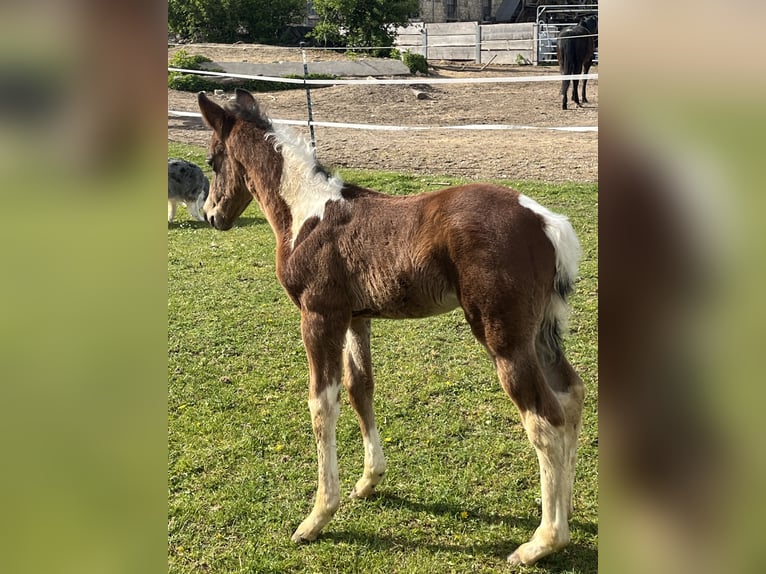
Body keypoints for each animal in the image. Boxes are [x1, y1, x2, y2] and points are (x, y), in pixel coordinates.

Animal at [197, 88, 585, 566]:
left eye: (213, 159)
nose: (211, 215)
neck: (308, 214)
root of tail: (548, 222)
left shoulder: (318, 317)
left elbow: (321, 405)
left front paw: (317, 517)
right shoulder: (355, 319)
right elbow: (359, 388)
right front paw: (368, 481)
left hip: (506, 338)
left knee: (544, 419)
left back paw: (542, 541)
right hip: (543, 332)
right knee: (571, 396)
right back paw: (567, 509)